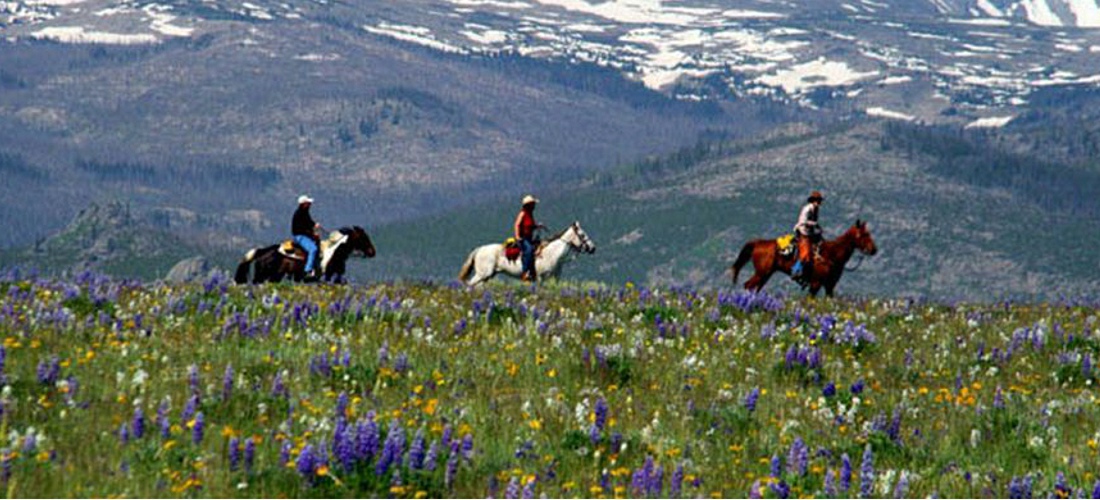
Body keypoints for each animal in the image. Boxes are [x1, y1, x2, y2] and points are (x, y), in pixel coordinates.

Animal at [234, 227, 376, 285]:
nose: (372, 252)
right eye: (364, 238)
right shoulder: (329, 277)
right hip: (262, 275)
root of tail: (264, 251)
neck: (333, 252)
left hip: (275, 276)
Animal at [459, 221, 598, 287]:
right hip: (483, 274)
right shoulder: (540, 277)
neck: (552, 254)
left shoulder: (555, 278)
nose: (593, 248)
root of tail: (479, 249)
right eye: (582, 235)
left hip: (487, 276)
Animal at [730, 219, 875, 296]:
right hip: (762, 273)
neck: (832, 254)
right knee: (748, 285)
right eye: (864, 234)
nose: (874, 249)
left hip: (766, 274)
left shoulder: (829, 286)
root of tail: (757, 243)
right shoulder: (816, 284)